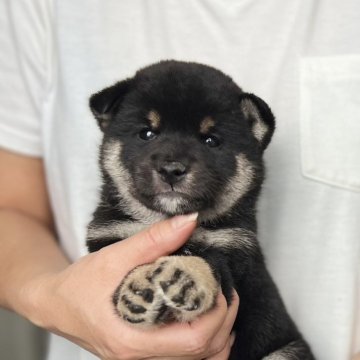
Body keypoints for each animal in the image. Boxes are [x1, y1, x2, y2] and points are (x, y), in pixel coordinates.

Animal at [87, 61, 316, 360]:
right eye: (147, 133)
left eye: (211, 140)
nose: (171, 169)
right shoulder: (109, 241)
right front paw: (140, 289)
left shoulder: (233, 254)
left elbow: (208, 262)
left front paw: (183, 277)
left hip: (285, 352)